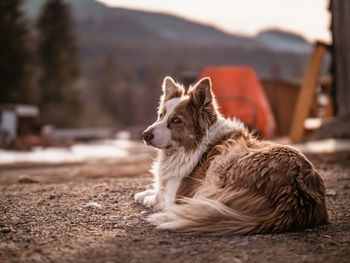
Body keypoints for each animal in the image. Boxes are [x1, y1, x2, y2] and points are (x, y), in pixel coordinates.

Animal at [135, 76, 330, 235]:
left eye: (176, 120)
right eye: (160, 115)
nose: (145, 135)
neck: (194, 145)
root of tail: (294, 197)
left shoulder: (176, 192)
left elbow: (160, 195)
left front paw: (148, 197)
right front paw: (144, 192)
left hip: (222, 164)